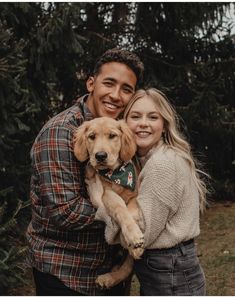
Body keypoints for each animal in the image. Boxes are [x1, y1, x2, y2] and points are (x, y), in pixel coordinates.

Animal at [74, 117, 143, 288]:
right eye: (91, 136)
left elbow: (131, 210)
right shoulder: (106, 194)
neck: (116, 174)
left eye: (112, 136)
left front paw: (133, 238)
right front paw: (132, 236)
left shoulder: (136, 194)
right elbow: (119, 207)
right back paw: (109, 277)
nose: (100, 156)